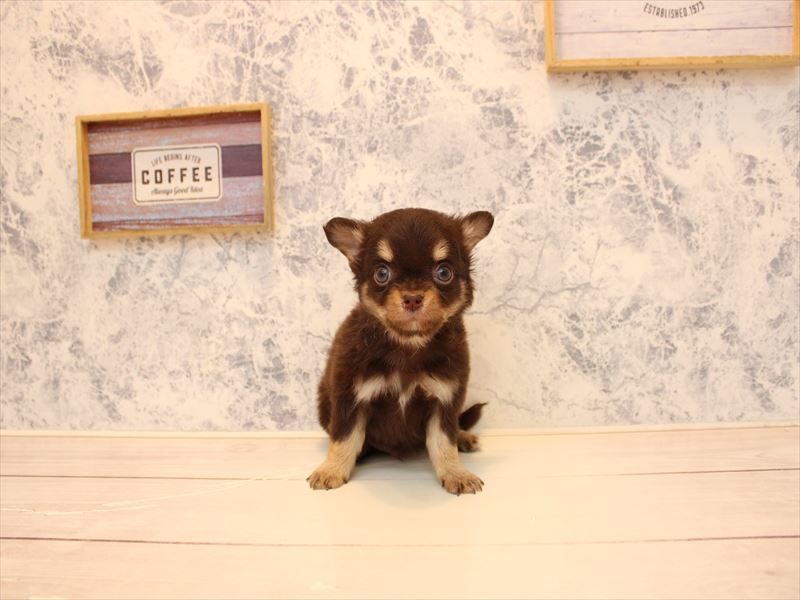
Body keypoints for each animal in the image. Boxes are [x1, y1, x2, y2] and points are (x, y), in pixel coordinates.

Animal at [307, 208, 493, 494]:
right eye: (382, 274)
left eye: (444, 273)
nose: (413, 298)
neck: (408, 345)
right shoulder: (350, 398)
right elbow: (344, 438)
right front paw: (332, 469)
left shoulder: (445, 400)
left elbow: (444, 442)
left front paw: (456, 473)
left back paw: (464, 437)